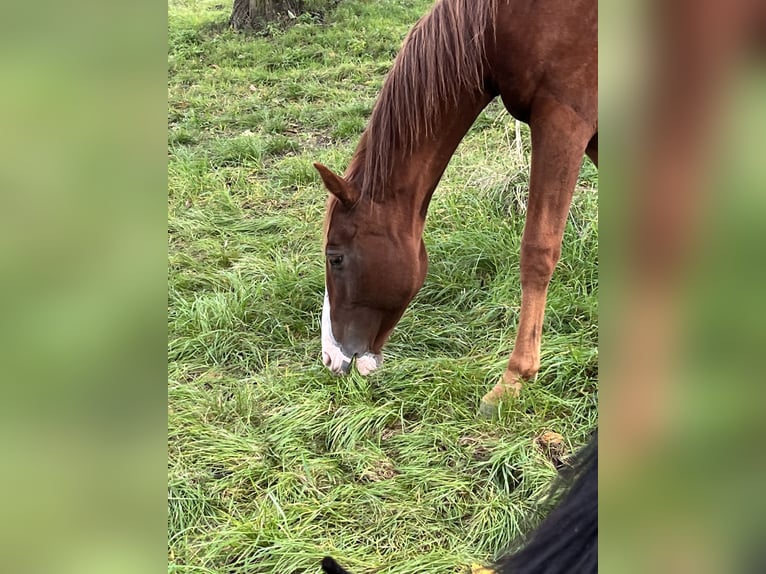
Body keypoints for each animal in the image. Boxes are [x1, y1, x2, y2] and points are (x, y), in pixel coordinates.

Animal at [316, 0, 596, 414]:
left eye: (335, 257)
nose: (330, 357)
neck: (506, 22)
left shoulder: (565, 121)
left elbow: (537, 251)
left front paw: (513, 380)